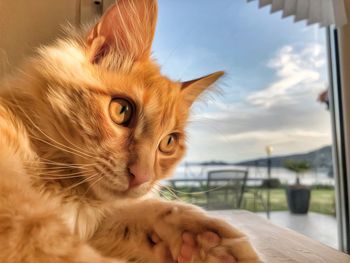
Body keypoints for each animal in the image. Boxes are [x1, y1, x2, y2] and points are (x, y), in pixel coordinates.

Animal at [0, 1, 260, 262]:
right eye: (122, 110)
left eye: (168, 142)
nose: (142, 177)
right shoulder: (17, 209)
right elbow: (55, 243)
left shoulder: (97, 221)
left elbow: (150, 210)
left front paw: (206, 242)